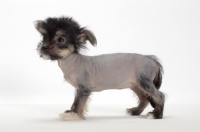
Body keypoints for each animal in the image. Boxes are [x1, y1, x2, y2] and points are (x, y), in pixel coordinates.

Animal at [34, 16, 165, 120]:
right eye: (44, 37)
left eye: (60, 39)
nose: (43, 47)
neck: (71, 60)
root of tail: (152, 60)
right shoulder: (79, 89)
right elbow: (75, 101)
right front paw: (71, 112)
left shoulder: (84, 88)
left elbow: (79, 103)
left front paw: (73, 115)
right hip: (136, 85)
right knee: (144, 98)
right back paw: (135, 111)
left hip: (144, 82)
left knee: (160, 96)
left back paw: (156, 115)